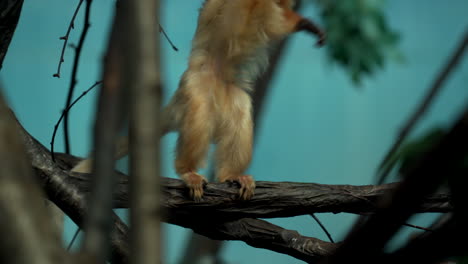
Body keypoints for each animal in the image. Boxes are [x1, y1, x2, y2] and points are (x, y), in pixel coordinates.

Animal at [73, 0, 324, 199]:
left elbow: (279, 15)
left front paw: (305, 24)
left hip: (229, 94)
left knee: (240, 114)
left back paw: (231, 175)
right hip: (194, 85)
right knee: (199, 112)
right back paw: (187, 170)